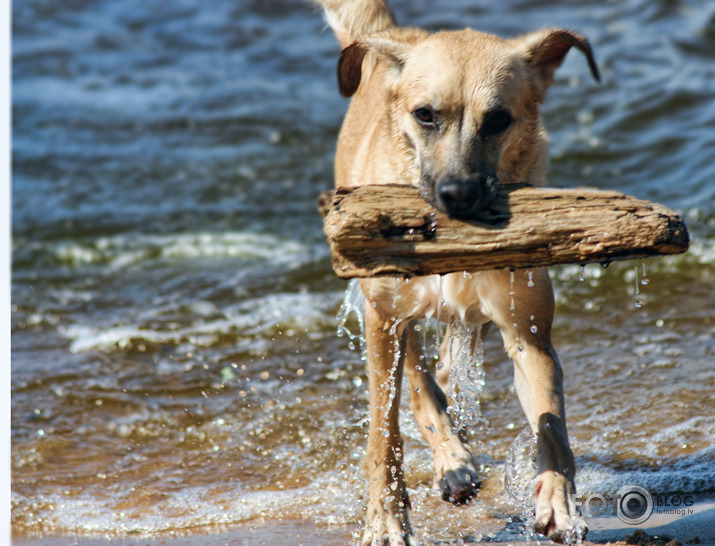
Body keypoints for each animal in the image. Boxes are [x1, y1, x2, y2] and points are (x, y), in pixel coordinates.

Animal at [316, 2, 600, 540]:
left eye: (499, 120)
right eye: (425, 115)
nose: (458, 194)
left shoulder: (528, 331)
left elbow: (550, 422)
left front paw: (558, 496)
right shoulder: (383, 320)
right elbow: (385, 429)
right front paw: (386, 515)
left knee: (449, 363)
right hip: (386, 311)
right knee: (419, 382)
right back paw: (451, 459)